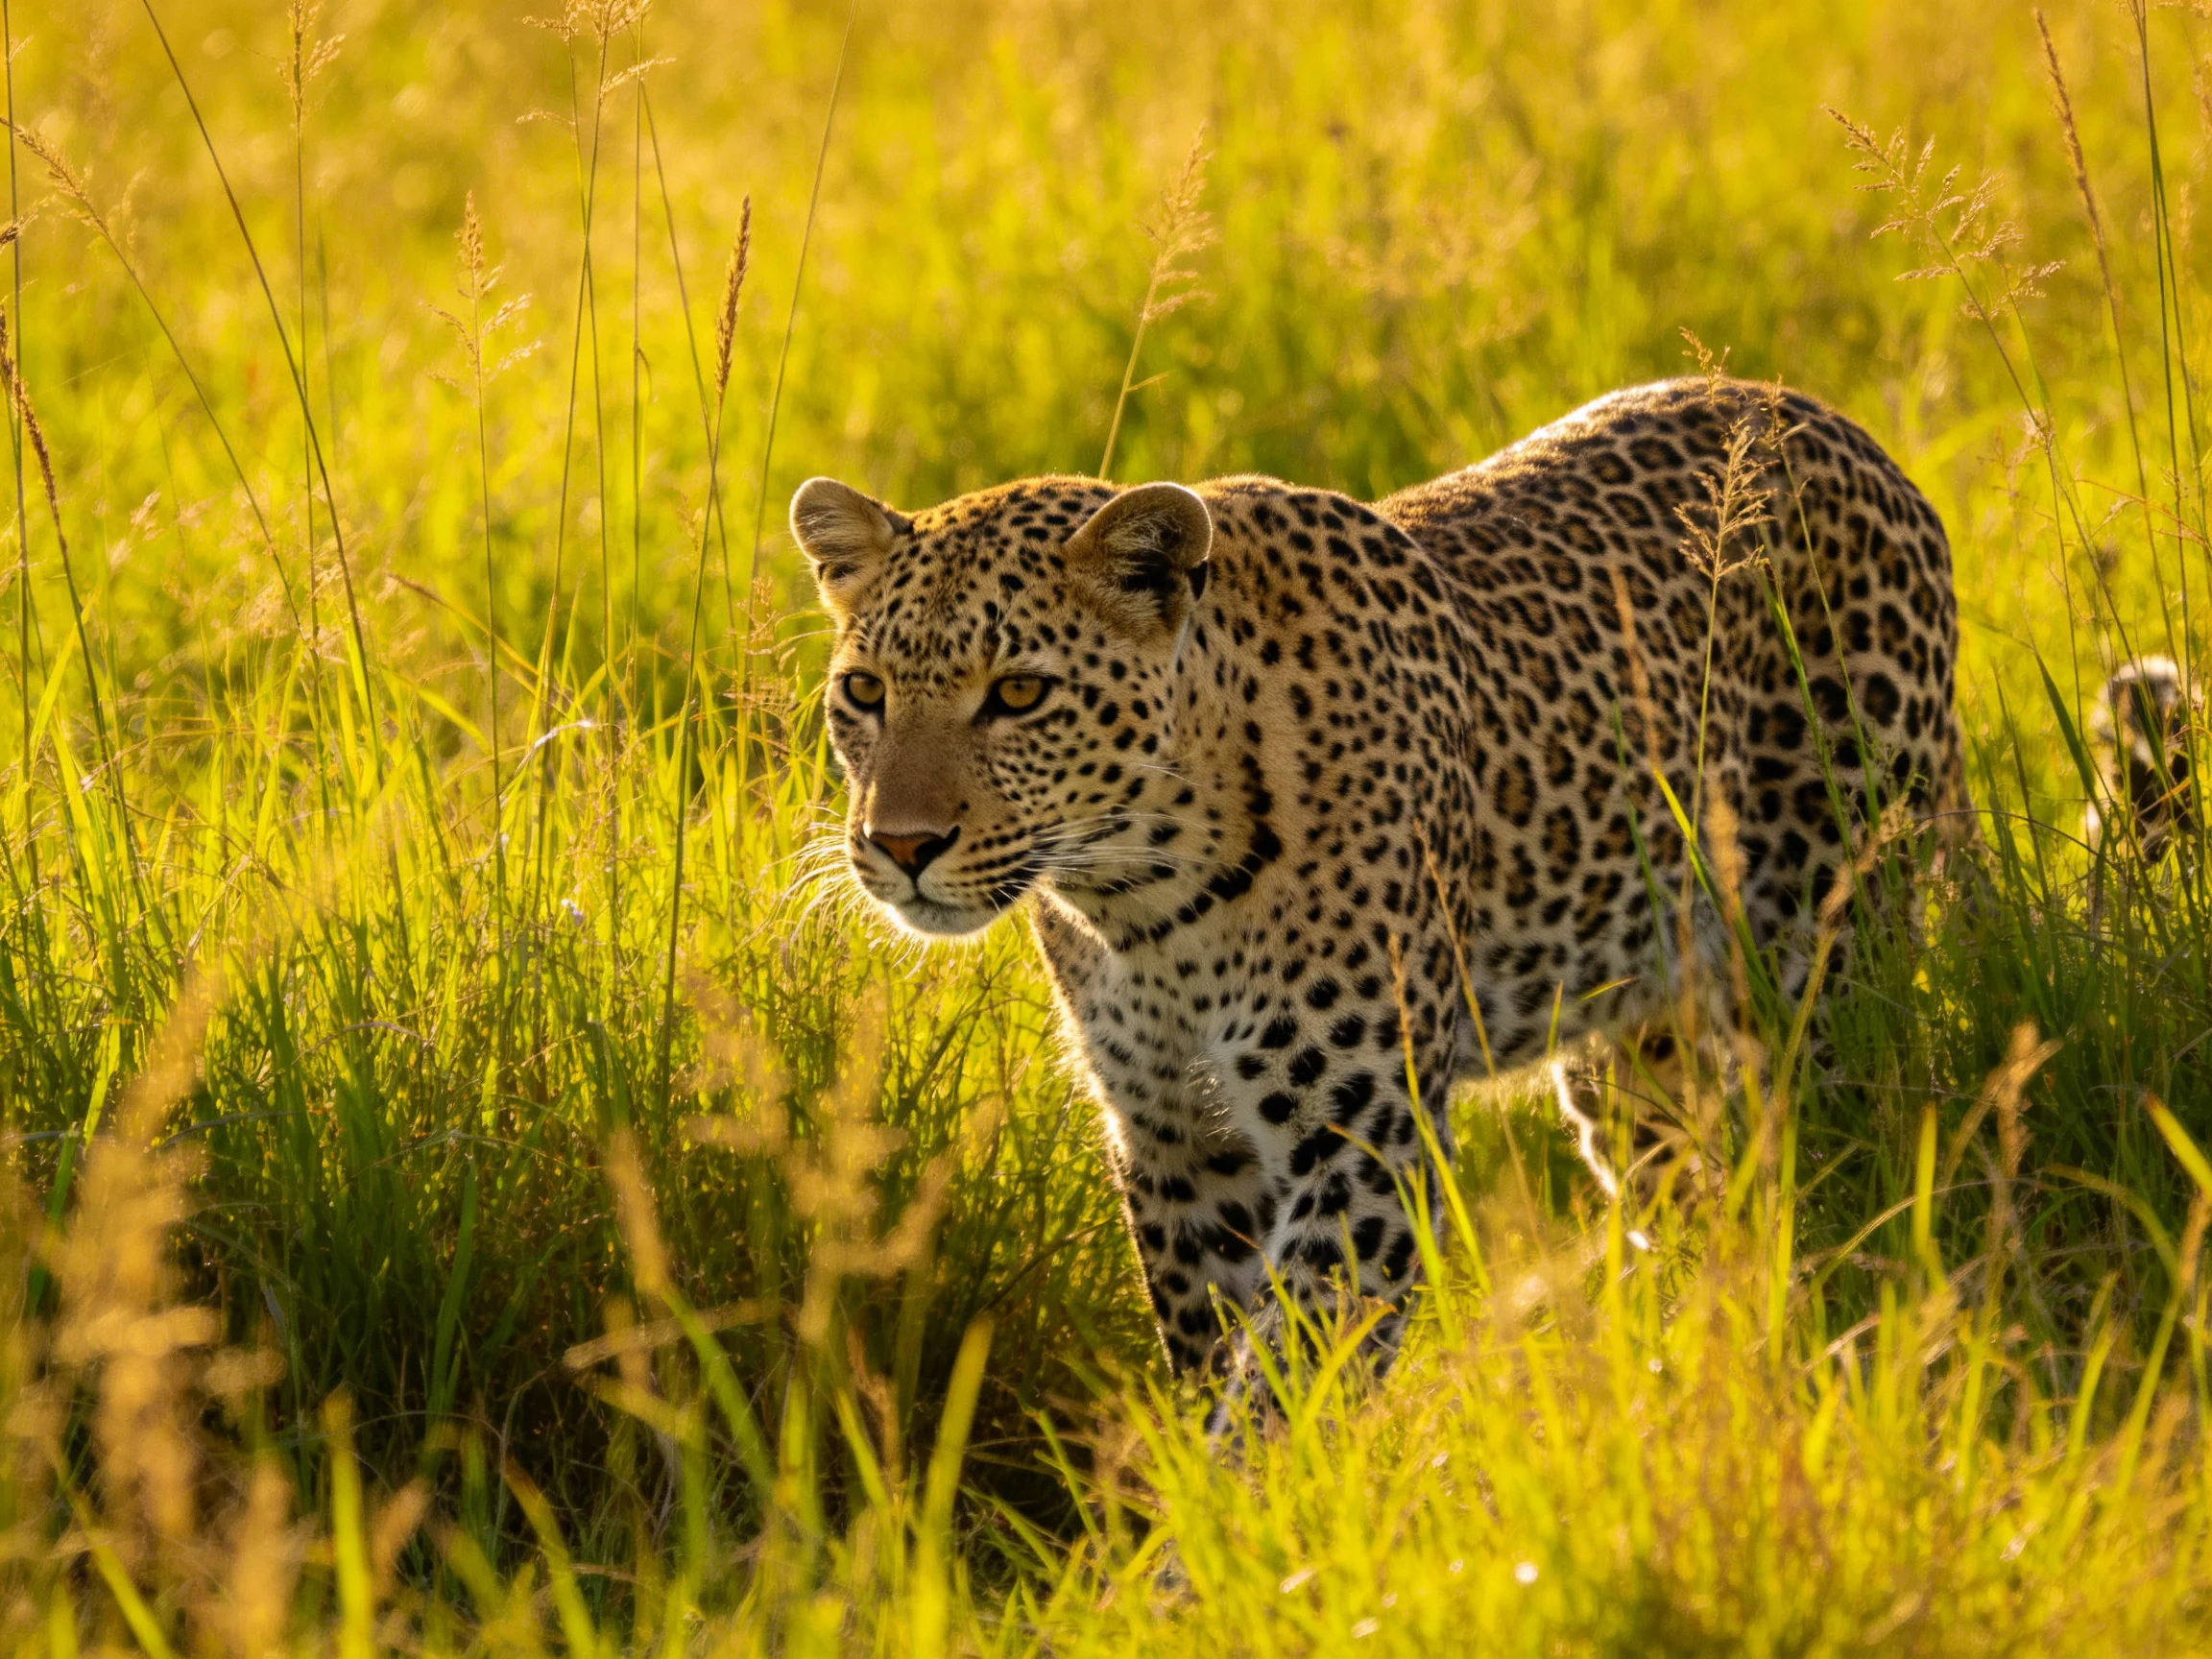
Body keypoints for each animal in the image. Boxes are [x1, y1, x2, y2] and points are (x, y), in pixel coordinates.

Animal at [790, 375, 1963, 1396]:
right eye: (865, 691)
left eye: (1021, 695)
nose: (901, 843)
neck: (1141, 896)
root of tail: (1826, 422)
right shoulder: (1176, 1140)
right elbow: (1216, 1359)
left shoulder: (1361, 1135)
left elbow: (1286, 1379)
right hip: (1633, 1038)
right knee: (1685, 1181)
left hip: (1825, 957)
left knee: (1837, 1143)